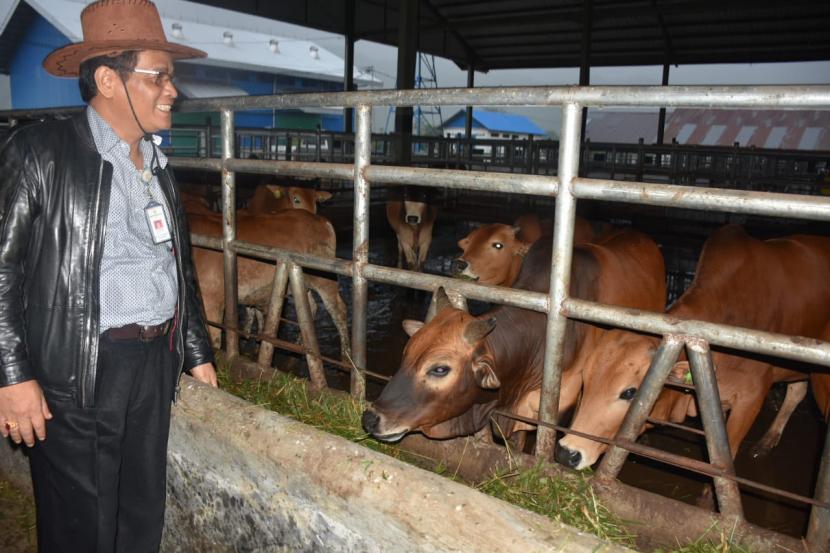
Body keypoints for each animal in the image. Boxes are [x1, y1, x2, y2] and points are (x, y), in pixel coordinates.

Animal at [191, 209, 352, 360]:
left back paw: (346, 355)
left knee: (339, 310)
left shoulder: (211, 299)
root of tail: (319, 219)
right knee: (311, 308)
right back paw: (301, 346)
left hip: (324, 279)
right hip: (302, 281)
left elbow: (214, 338)